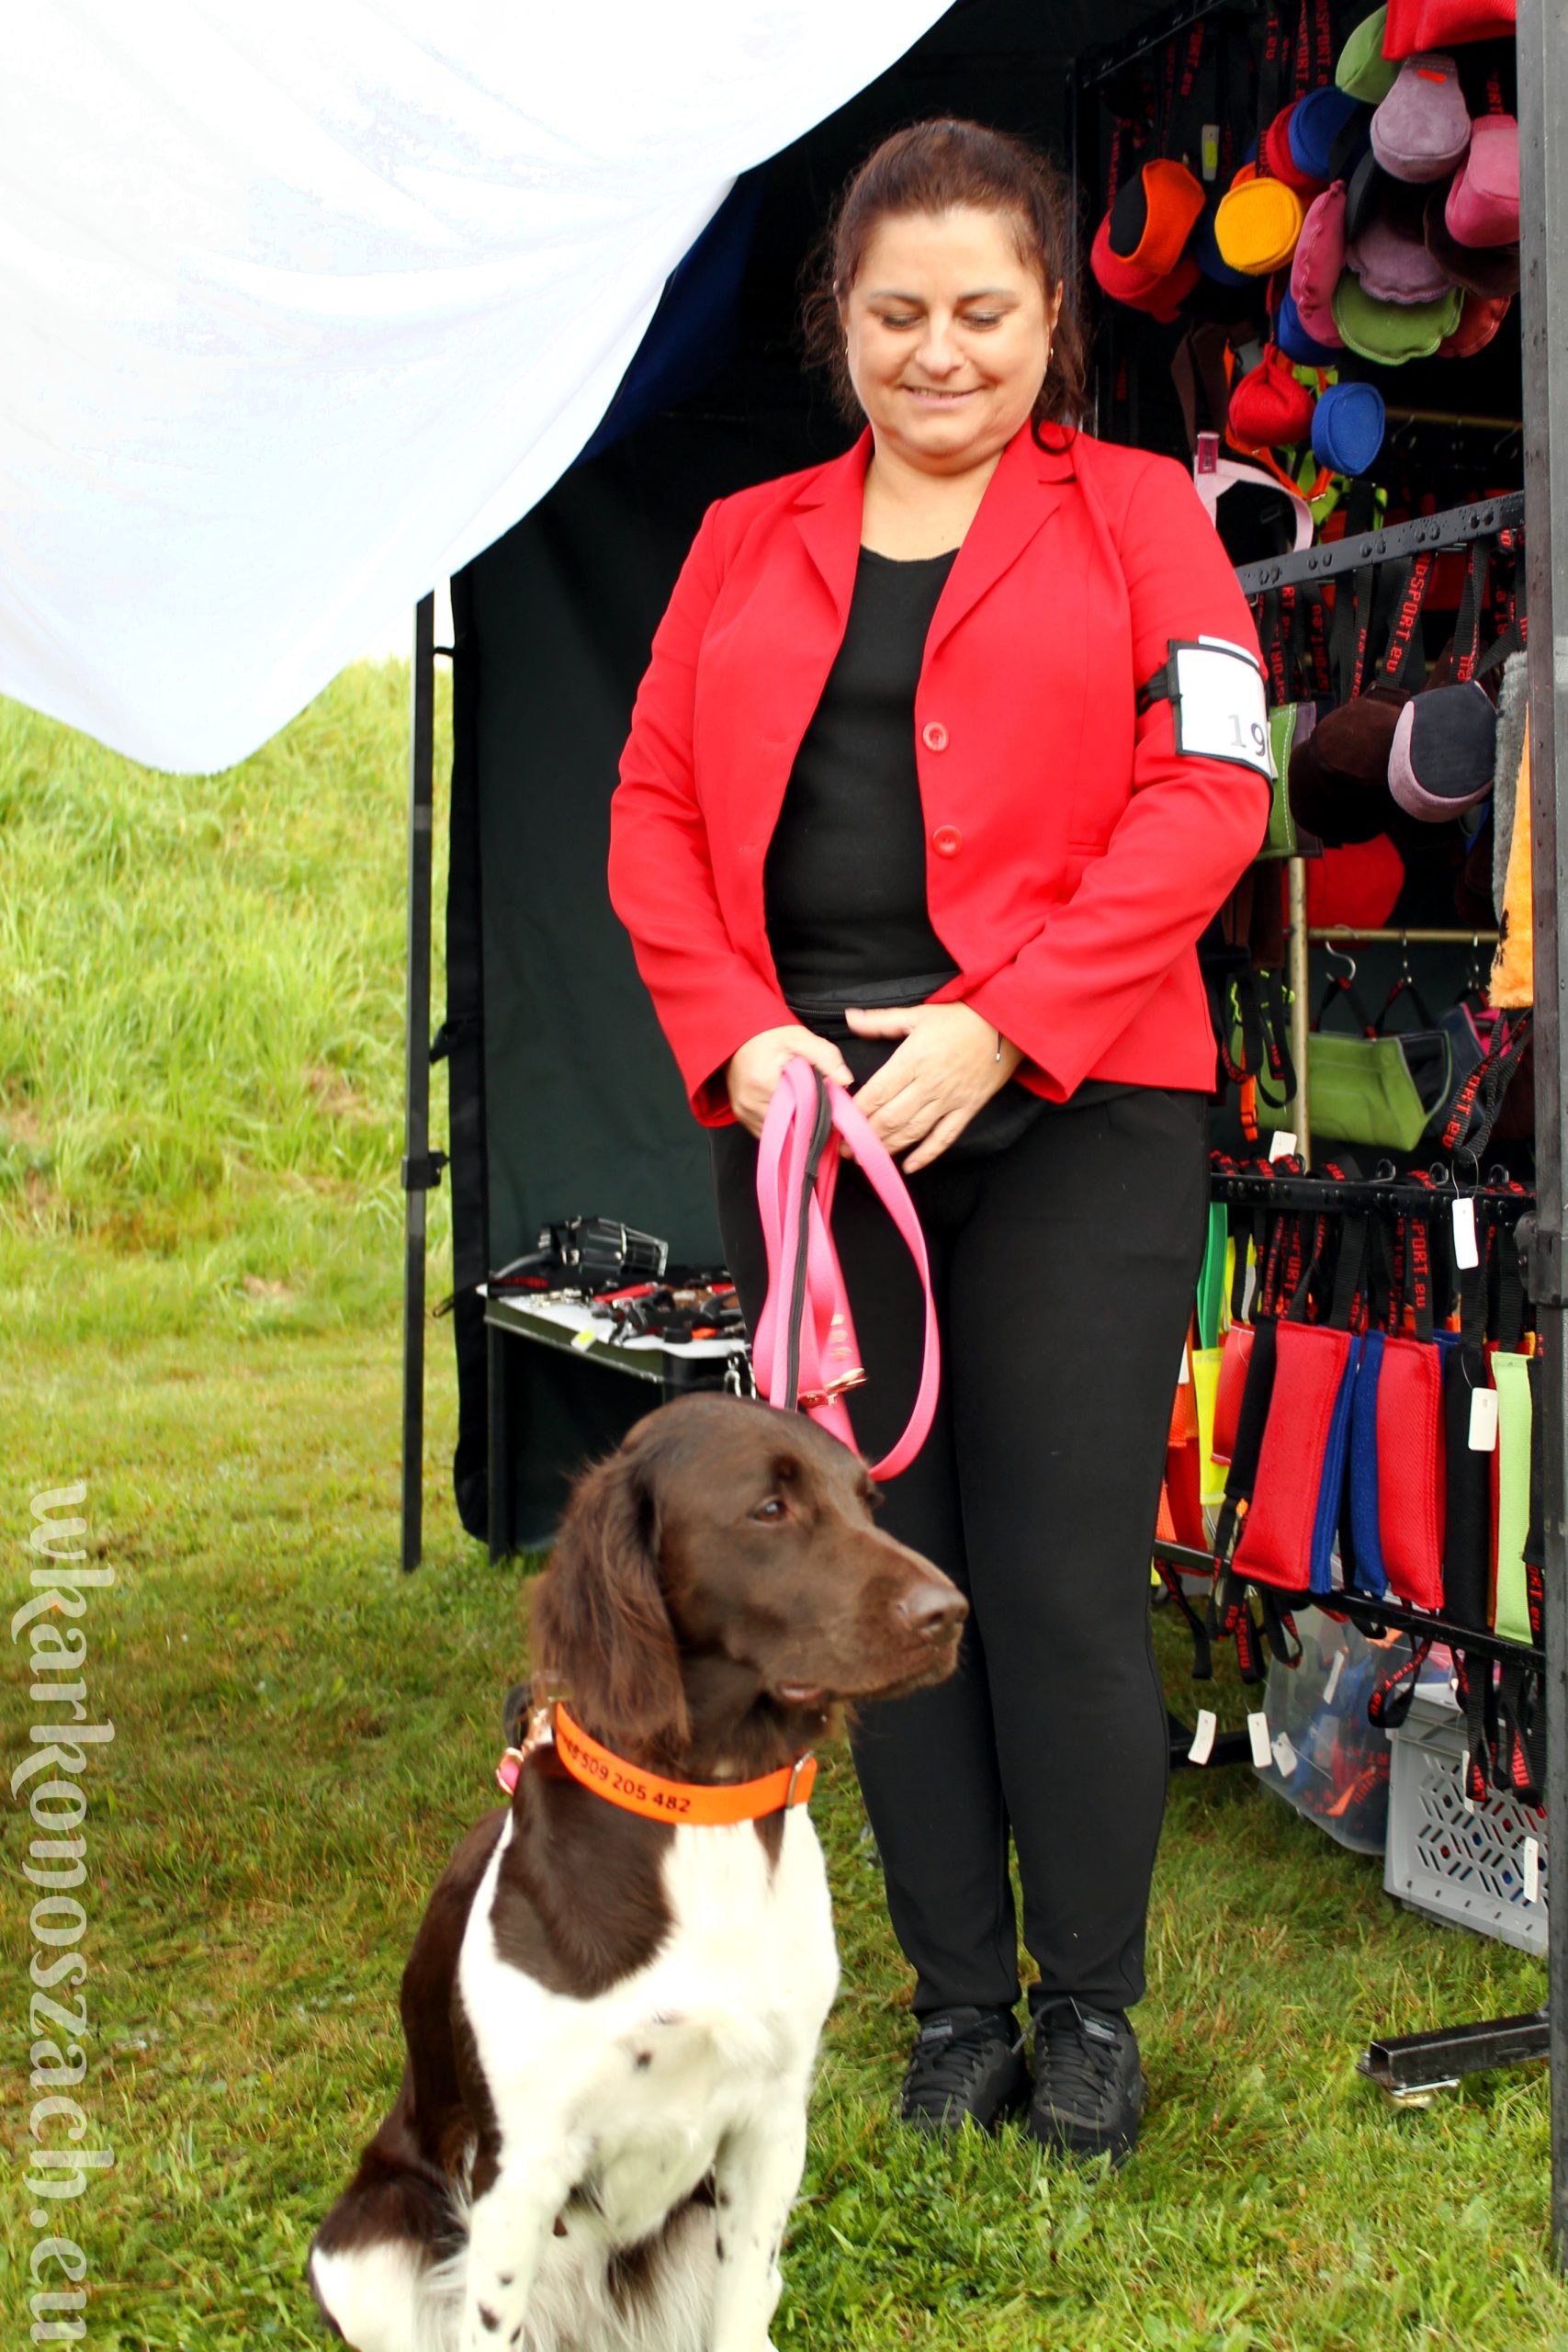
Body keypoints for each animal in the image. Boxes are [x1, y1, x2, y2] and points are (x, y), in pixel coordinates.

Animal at [308, 1391, 965, 2352]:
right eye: (770, 1508)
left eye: (867, 1502)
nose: (950, 1612)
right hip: (363, 2248)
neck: (703, 1814)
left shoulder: (771, 2126)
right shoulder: (519, 2167)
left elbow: (740, 2300)